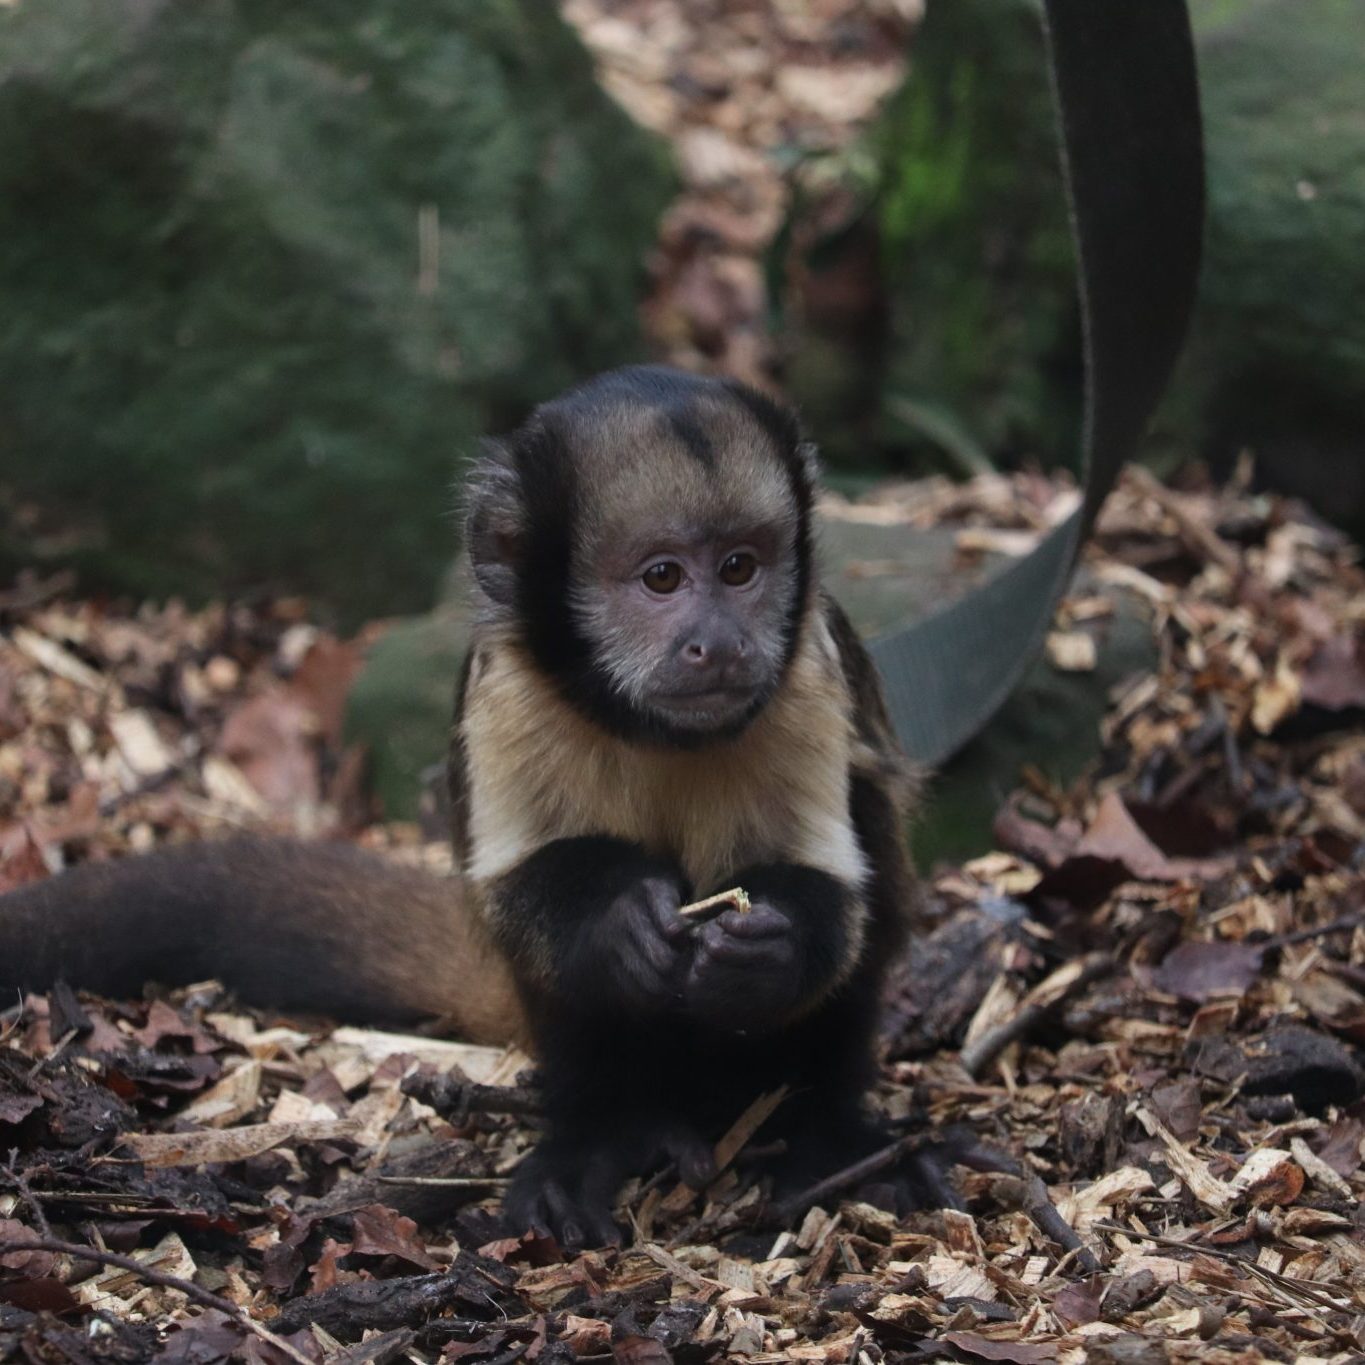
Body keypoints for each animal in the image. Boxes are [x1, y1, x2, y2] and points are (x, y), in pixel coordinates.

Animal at [0, 365, 944, 1250]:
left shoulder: (809, 666)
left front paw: (762, 948)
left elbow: (831, 891)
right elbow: (516, 886)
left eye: (742, 567)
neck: (645, 726)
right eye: (663, 577)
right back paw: (600, 1134)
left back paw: (824, 1134)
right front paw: (620, 921)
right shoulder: (503, 684)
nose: (721, 642)